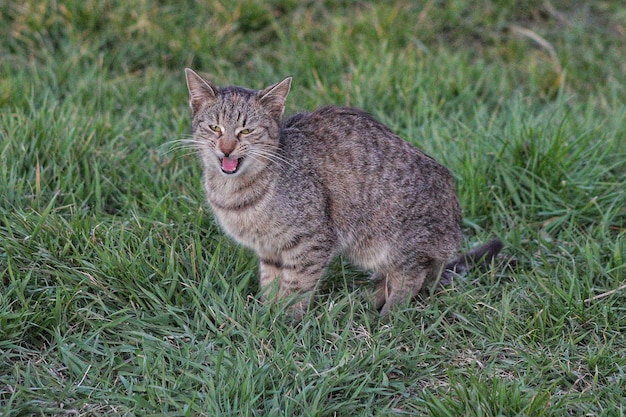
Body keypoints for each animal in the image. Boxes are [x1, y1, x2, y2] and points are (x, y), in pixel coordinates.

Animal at [183, 68, 500, 320]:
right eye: (215, 127)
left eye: (246, 130)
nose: (226, 149)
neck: (236, 193)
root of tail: (454, 226)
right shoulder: (270, 250)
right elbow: (271, 283)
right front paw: (265, 313)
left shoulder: (312, 239)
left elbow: (296, 285)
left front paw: (284, 321)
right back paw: (363, 300)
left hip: (394, 241)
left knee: (412, 275)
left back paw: (388, 315)